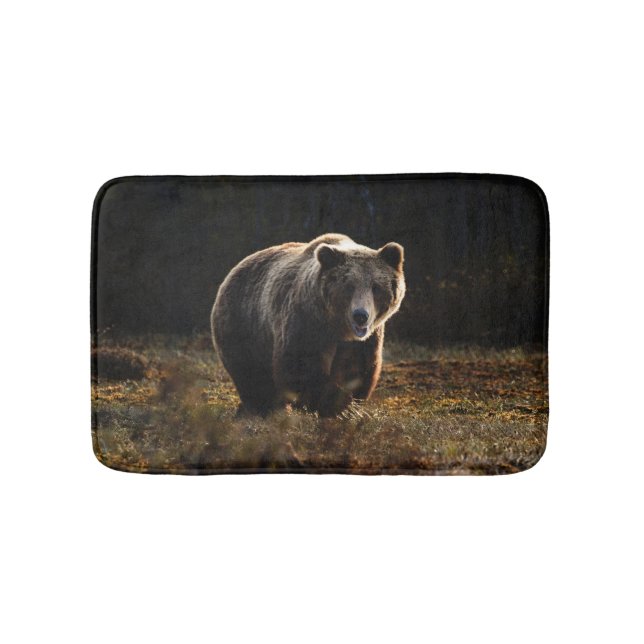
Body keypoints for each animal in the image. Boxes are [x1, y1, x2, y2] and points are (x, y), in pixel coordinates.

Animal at [211, 233, 405, 417]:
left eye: (376, 287)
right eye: (349, 286)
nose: (360, 316)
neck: (337, 327)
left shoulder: (364, 341)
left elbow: (355, 369)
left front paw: (346, 405)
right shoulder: (306, 322)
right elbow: (301, 366)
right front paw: (330, 404)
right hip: (244, 325)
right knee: (252, 376)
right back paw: (261, 409)